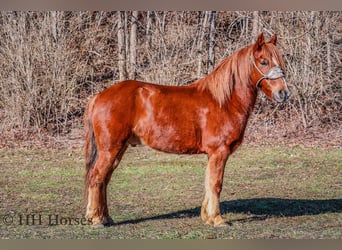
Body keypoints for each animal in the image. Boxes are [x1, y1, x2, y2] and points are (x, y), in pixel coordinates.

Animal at [83, 33, 288, 229]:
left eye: (280, 61)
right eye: (264, 61)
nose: (283, 93)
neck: (224, 101)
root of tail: (99, 95)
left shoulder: (213, 155)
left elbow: (209, 183)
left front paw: (207, 217)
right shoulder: (219, 152)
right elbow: (216, 184)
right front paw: (217, 219)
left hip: (118, 149)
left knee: (104, 180)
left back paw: (106, 217)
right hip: (110, 149)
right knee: (96, 177)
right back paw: (96, 219)